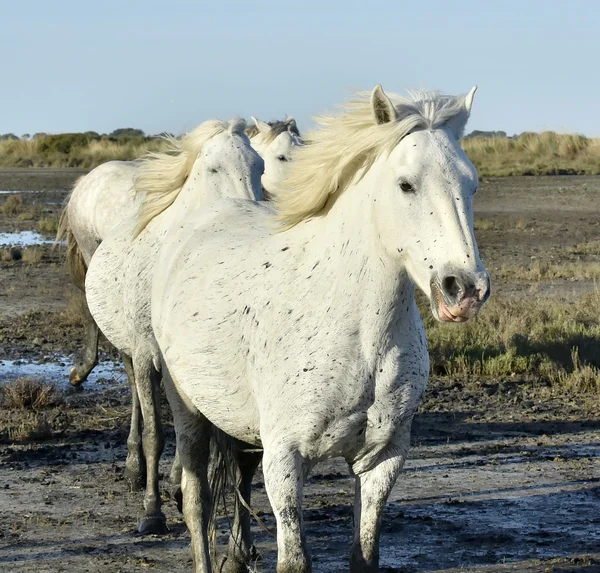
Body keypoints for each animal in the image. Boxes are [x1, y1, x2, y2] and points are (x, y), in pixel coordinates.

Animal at [84, 119, 264, 536]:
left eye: (260, 167)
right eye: (213, 168)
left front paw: (177, 491)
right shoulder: (147, 357)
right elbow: (155, 433)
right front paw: (152, 511)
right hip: (133, 355)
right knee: (137, 399)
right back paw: (135, 471)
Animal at [152, 86, 490, 572]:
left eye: (472, 183)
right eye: (405, 184)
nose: (464, 289)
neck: (361, 337)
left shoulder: (383, 458)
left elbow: (364, 553)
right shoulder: (285, 462)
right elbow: (294, 559)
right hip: (188, 411)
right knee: (197, 502)